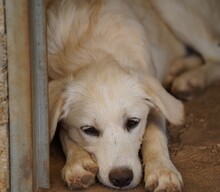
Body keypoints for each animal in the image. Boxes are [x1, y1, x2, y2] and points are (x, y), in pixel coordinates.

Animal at [46, 0, 220, 191]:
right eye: (89, 130)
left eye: (132, 122)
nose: (121, 178)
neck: (95, 53)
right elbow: (63, 132)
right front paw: (77, 162)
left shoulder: (155, 99)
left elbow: (153, 135)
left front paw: (162, 171)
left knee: (214, 53)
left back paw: (191, 80)